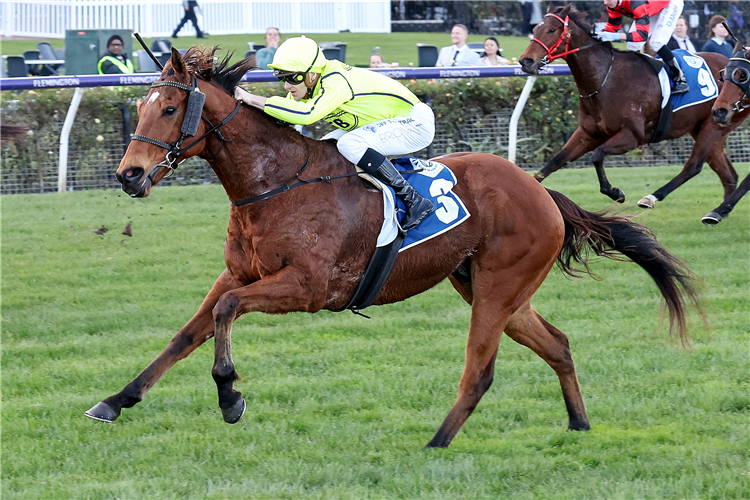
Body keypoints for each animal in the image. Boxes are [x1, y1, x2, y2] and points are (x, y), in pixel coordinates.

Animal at [85, 47, 704, 448]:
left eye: (169, 109)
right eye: (139, 107)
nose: (128, 176)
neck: (274, 183)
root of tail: (542, 192)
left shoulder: (307, 287)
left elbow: (225, 313)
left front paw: (229, 396)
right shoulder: (237, 273)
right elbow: (188, 332)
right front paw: (115, 400)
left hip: (499, 287)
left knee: (480, 370)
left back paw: (435, 443)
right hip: (491, 287)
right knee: (557, 344)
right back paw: (577, 425)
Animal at [520, 2, 748, 209]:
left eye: (552, 30)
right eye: (535, 29)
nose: (525, 61)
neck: (606, 79)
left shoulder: (633, 136)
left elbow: (597, 155)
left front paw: (615, 193)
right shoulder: (587, 134)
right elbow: (553, 163)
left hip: (715, 123)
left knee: (693, 166)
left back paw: (652, 198)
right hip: (705, 127)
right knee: (728, 174)